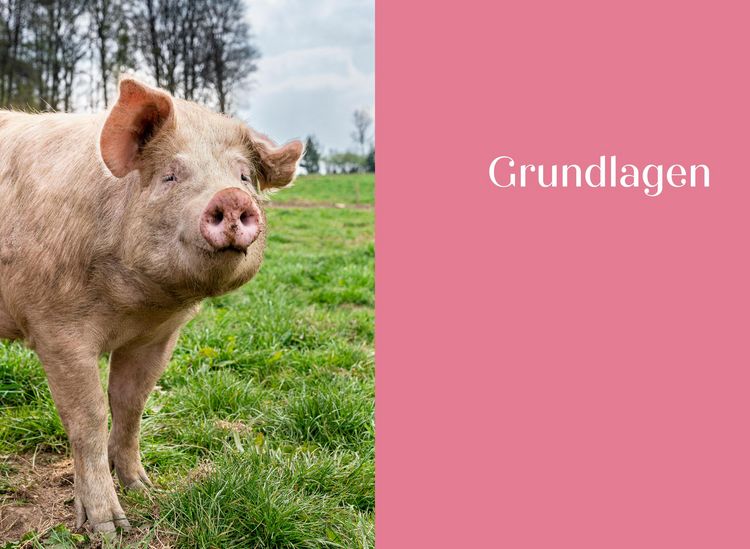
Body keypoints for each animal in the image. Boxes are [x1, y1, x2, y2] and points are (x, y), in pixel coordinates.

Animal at [0, 77, 303, 532]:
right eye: (170, 175)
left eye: (244, 176)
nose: (232, 197)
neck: (134, 306)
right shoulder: (55, 328)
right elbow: (88, 417)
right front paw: (110, 528)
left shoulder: (158, 336)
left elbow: (131, 404)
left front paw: (146, 490)